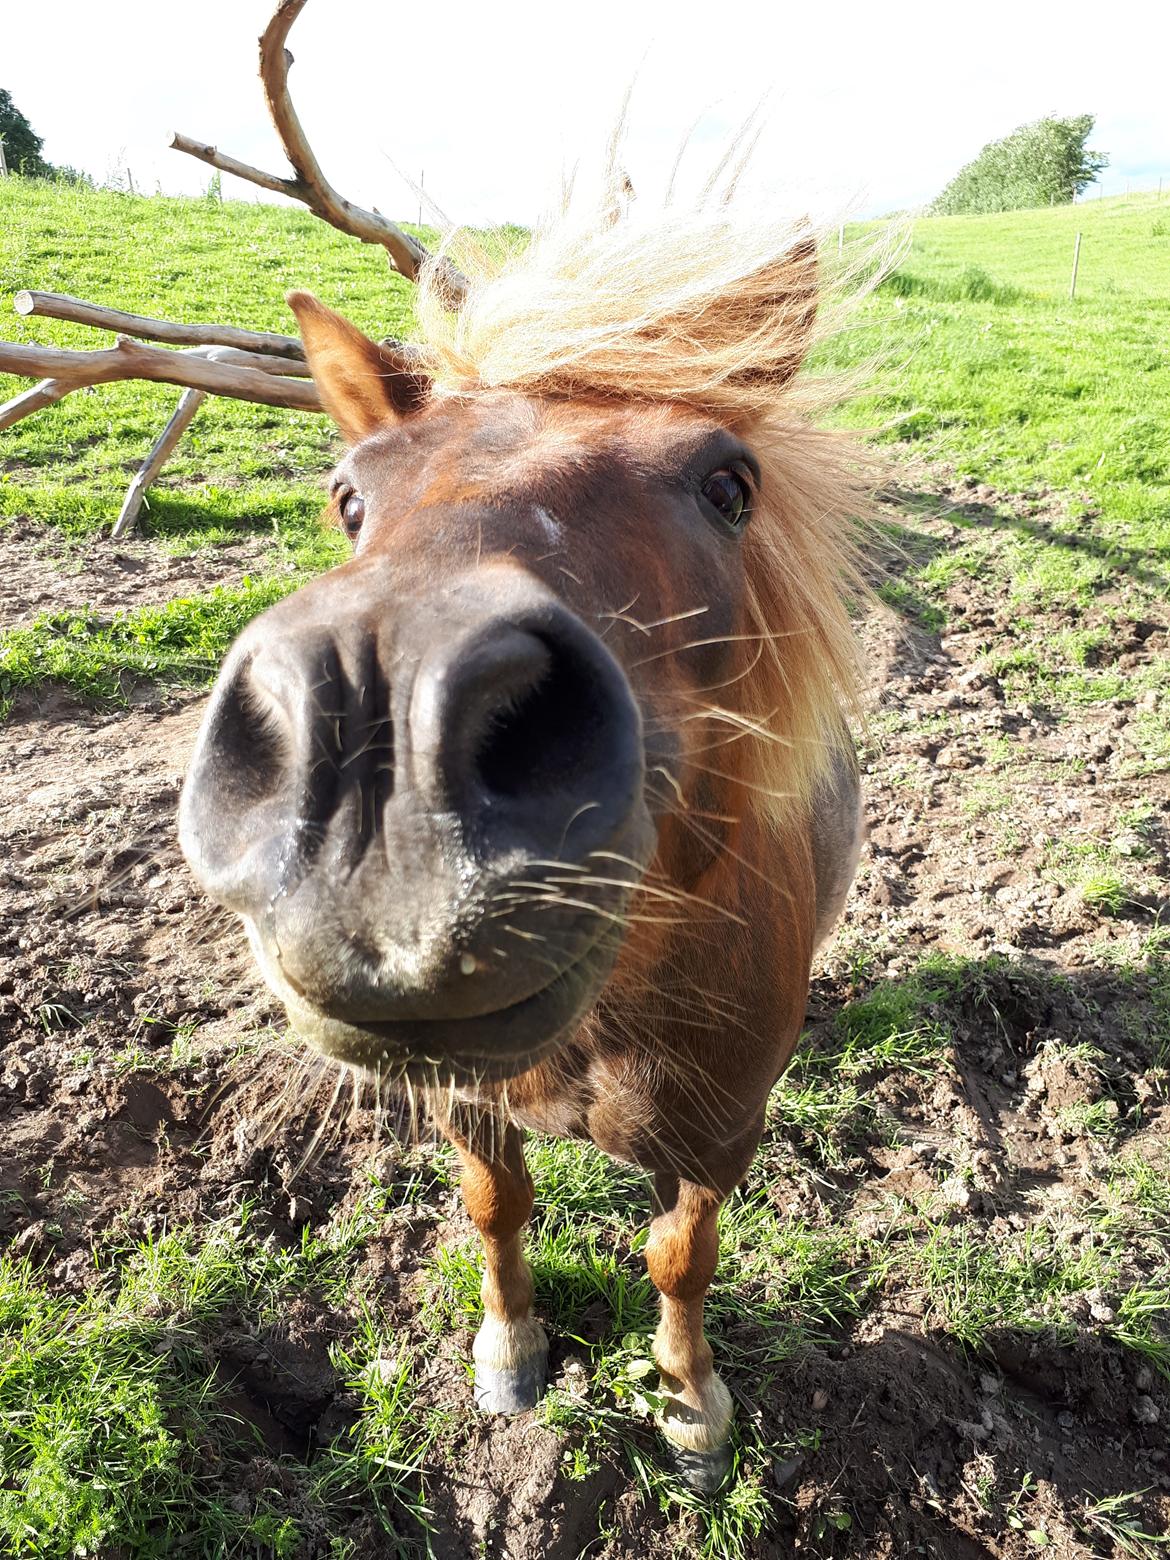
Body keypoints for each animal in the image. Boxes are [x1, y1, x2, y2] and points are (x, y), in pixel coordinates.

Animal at [180, 177, 873, 1491]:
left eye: (729, 485)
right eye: (350, 495)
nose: (383, 725)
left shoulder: (720, 1137)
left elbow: (679, 1259)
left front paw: (690, 1406)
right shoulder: (469, 1101)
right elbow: (495, 1207)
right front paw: (511, 1355)